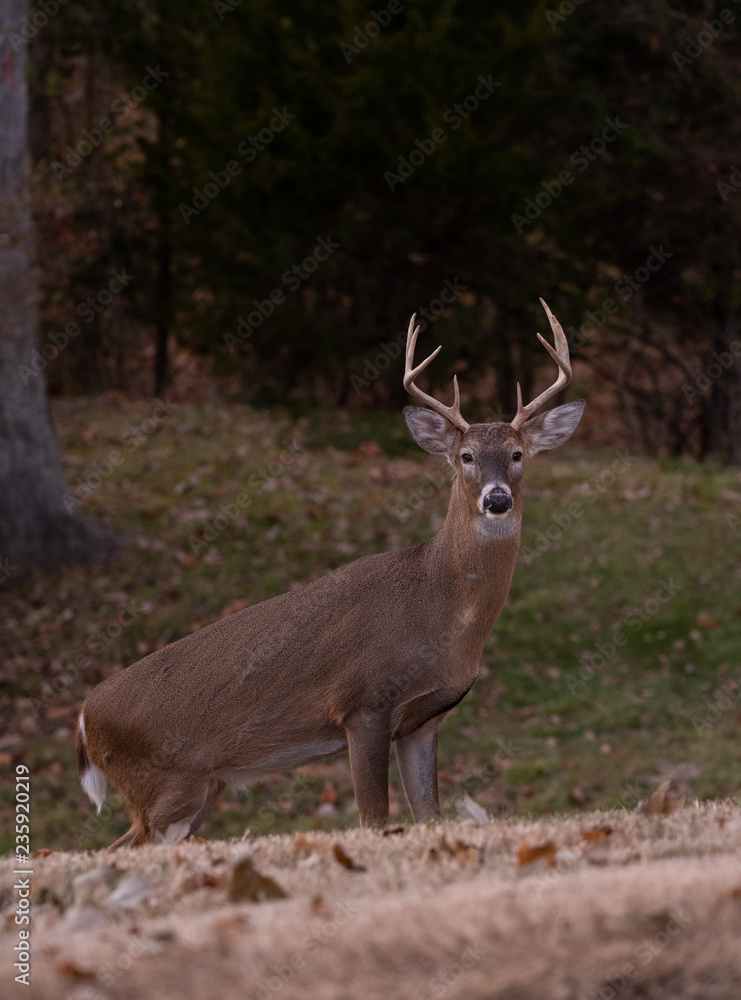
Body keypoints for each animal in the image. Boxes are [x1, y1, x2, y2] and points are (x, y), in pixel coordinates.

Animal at [76, 298, 585, 848]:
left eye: (517, 454)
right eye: (465, 456)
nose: (496, 499)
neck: (443, 615)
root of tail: (83, 718)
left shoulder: (423, 720)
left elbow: (429, 815)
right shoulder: (361, 704)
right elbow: (374, 819)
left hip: (201, 789)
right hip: (167, 784)